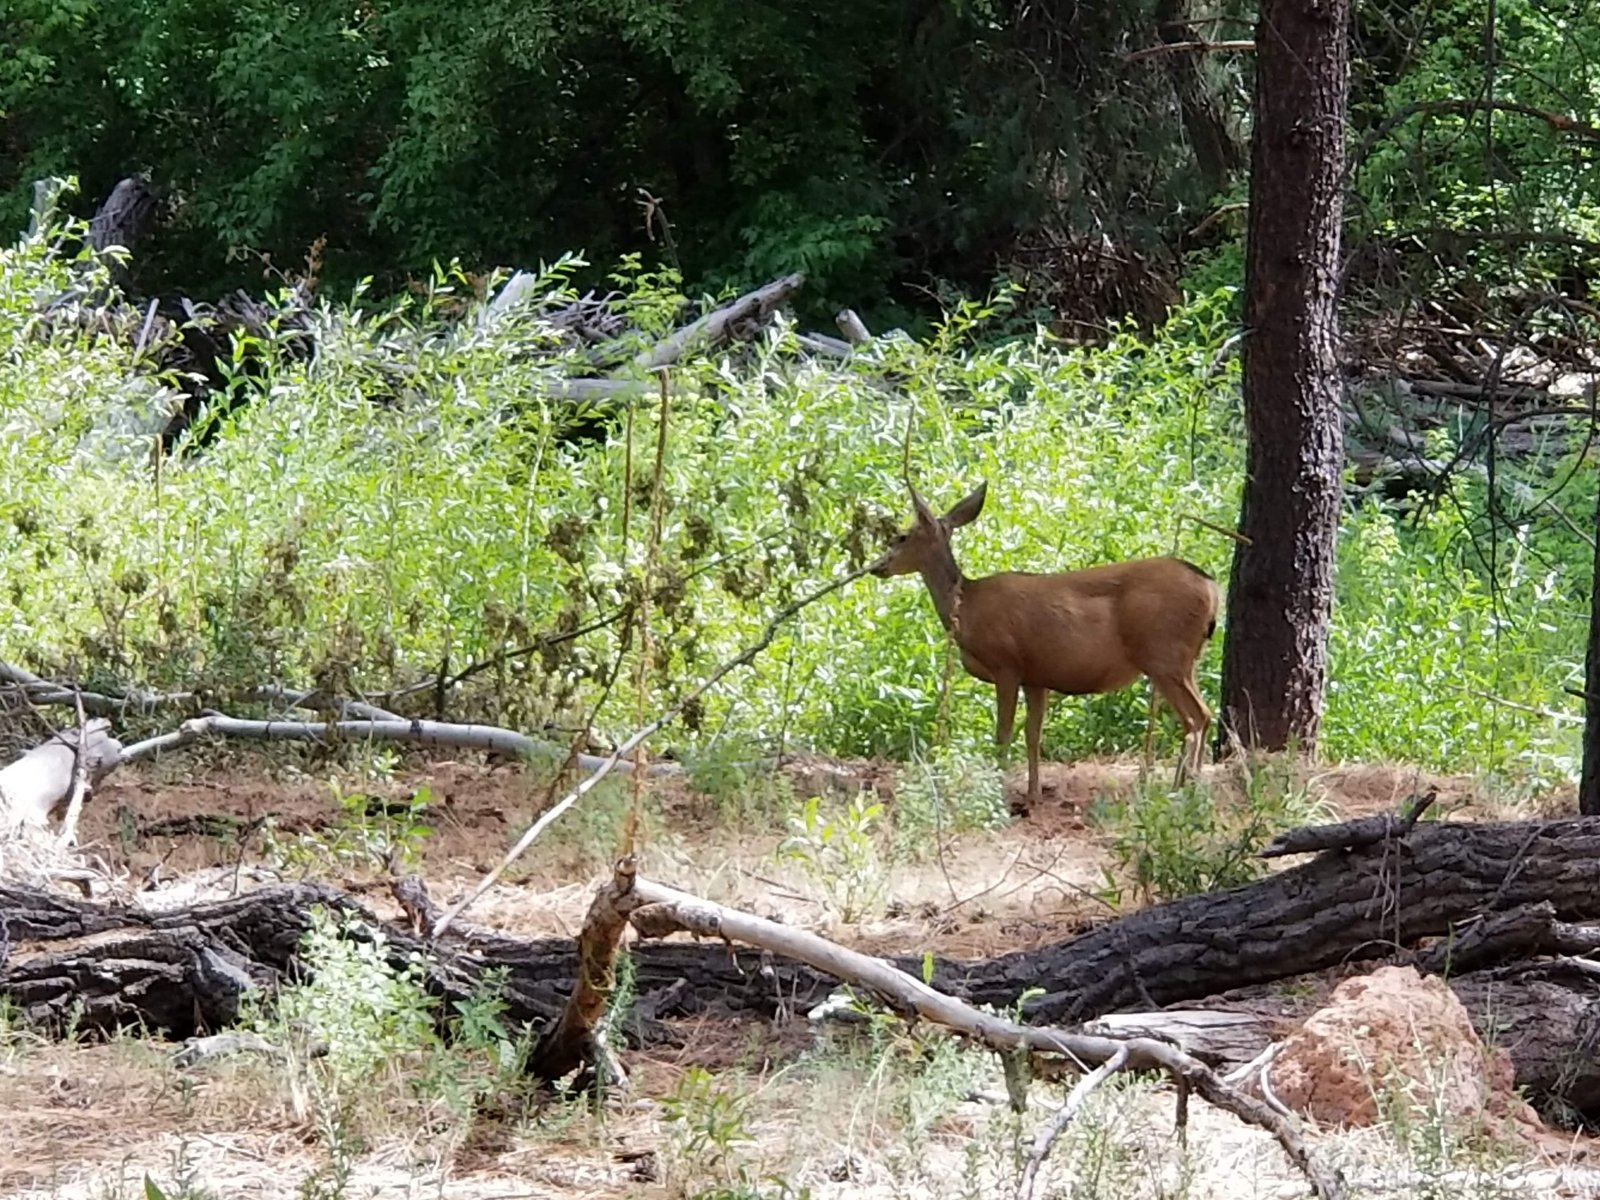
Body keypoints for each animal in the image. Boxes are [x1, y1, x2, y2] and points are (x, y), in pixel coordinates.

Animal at [870, 476, 1216, 809]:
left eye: (901, 537)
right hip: (1187, 660)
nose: (876, 567)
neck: (967, 607)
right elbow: (1033, 734)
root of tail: (1211, 587)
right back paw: (1188, 787)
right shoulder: (1036, 677)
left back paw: (1185, 790)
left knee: (1196, 717)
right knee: (1203, 715)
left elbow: (1003, 733)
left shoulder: (1006, 663)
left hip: (1164, 656)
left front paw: (999, 795)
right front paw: (1033, 795)